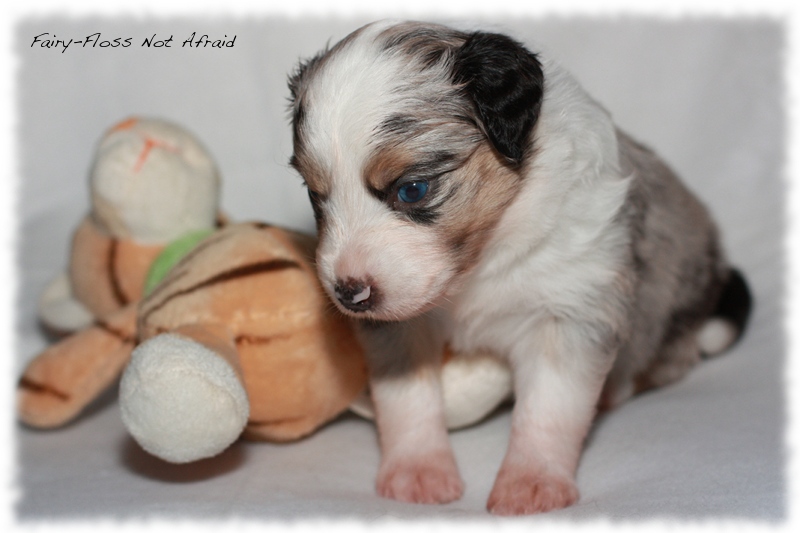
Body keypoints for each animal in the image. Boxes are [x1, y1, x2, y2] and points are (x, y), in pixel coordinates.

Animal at [286, 21, 752, 516]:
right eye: (316, 195)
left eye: (413, 189)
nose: (348, 292)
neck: (481, 260)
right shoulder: (398, 326)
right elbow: (406, 396)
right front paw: (417, 472)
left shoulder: (568, 309)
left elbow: (549, 410)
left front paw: (532, 484)